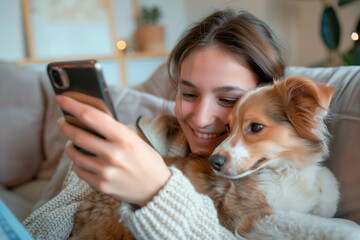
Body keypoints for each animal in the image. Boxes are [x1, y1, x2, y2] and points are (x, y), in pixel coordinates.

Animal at [71, 76, 340, 239]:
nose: (215, 162)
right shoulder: (245, 218)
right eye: (228, 127)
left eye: (255, 127)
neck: (287, 172)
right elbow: (300, 223)